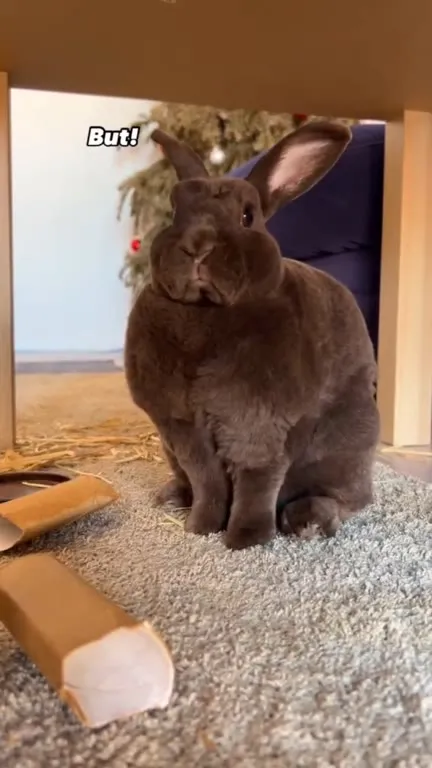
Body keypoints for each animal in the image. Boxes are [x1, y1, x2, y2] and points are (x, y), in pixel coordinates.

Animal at [124, 120, 380, 550]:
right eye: (175, 212)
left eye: (248, 216)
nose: (197, 246)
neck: (207, 311)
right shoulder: (183, 427)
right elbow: (207, 479)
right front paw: (202, 527)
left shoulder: (259, 426)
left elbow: (256, 482)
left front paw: (246, 539)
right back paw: (171, 497)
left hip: (347, 448)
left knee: (348, 499)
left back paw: (308, 522)